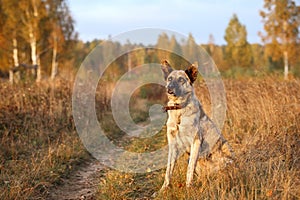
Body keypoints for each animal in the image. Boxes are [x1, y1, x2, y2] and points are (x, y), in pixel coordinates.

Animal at [157, 59, 234, 195]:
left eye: (181, 80)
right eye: (169, 79)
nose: (169, 88)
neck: (179, 111)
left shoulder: (196, 141)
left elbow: (189, 169)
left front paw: (188, 189)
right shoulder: (173, 145)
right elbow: (168, 170)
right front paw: (163, 189)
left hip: (226, 161)